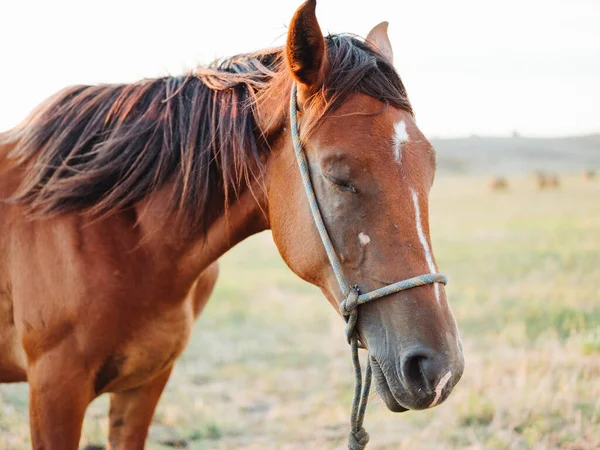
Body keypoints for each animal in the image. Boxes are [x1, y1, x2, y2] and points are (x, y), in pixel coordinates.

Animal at [0, 1, 464, 448]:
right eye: (338, 177)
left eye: (429, 171)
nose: (440, 369)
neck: (124, 236)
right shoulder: (56, 390)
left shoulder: (146, 383)